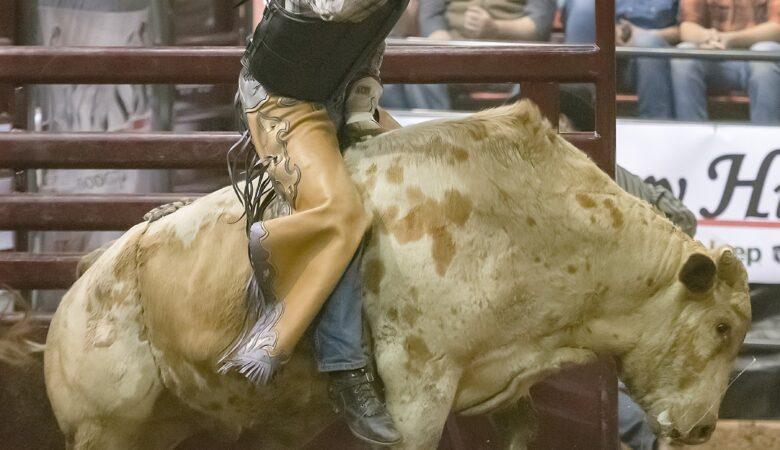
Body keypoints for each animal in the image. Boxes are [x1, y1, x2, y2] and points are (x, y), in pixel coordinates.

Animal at [42, 100, 748, 448]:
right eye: (719, 328)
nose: (704, 429)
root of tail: (86, 280)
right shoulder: (417, 386)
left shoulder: (503, 382)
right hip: (104, 427)